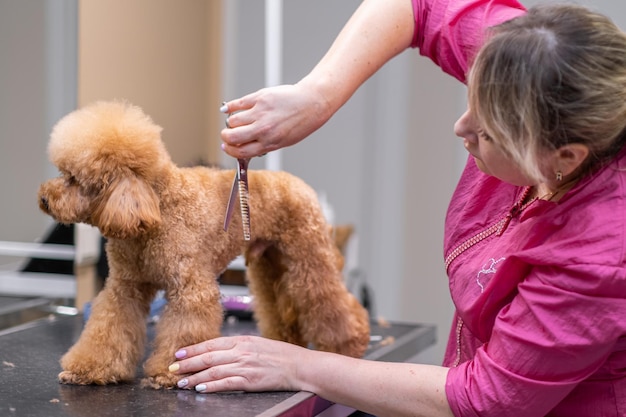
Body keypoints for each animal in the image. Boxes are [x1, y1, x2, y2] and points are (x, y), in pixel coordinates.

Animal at [39, 101, 368, 386]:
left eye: (73, 179)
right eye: (62, 172)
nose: (43, 198)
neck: (157, 207)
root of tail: (298, 184)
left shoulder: (190, 288)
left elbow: (184, 329)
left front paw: (170, 372)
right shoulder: (126, 287)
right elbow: (109, 326)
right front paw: (89, 369)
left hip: (308, 258)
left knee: (330, 301)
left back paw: (349, 344)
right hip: (269, 264)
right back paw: (285, 341)